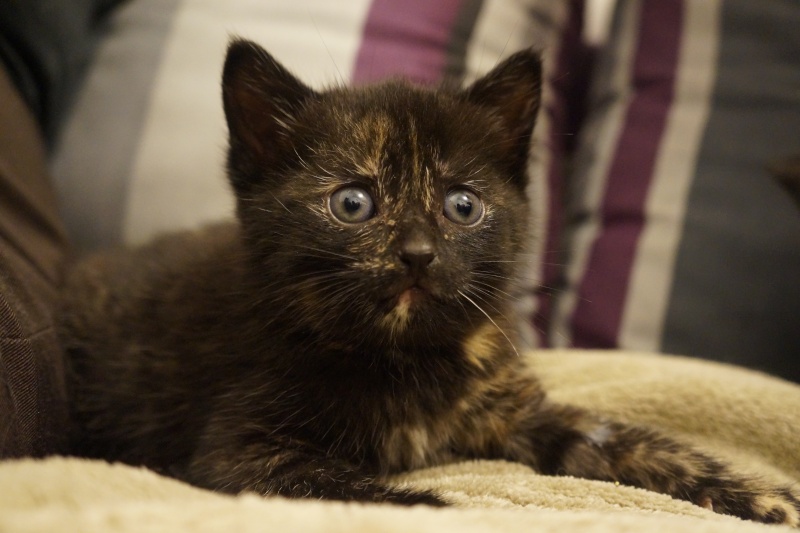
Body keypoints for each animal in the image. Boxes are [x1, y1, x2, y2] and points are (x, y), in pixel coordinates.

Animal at [61, 40, 800, 524]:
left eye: (462, 205)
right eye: (353, 202)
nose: (417, 254)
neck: (408, 359)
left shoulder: (511, 408)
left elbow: (626, 439)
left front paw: (759, 493)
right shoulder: (240, 448)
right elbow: (355, 485)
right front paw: (442, 504)